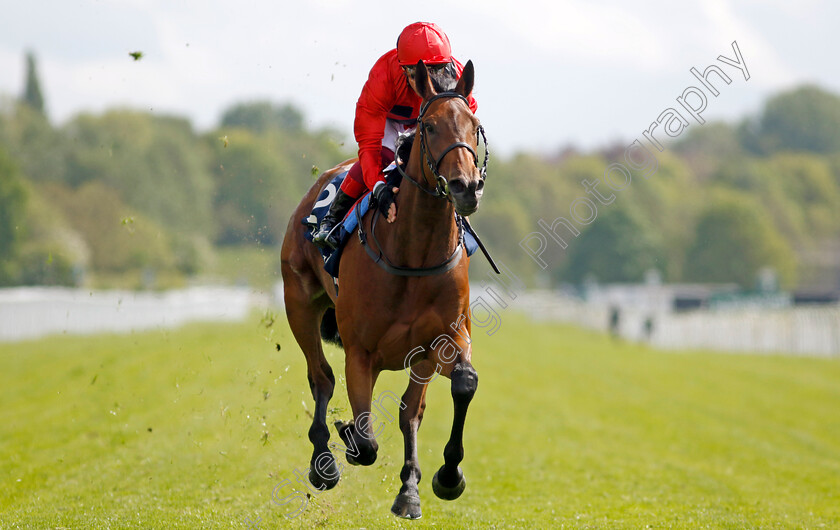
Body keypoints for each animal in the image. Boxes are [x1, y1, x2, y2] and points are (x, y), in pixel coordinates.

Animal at [278, 58, 482, 516]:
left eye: (475, 124)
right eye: (429, 126)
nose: (465, 187)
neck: (414, 254)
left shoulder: (443, 340)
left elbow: (457, 387)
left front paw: (444, 478)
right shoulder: (361, 351)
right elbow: (366, 436)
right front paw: (349, 440)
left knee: (409, 410)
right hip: (299, 304)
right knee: (321, 377)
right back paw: (324, 463)